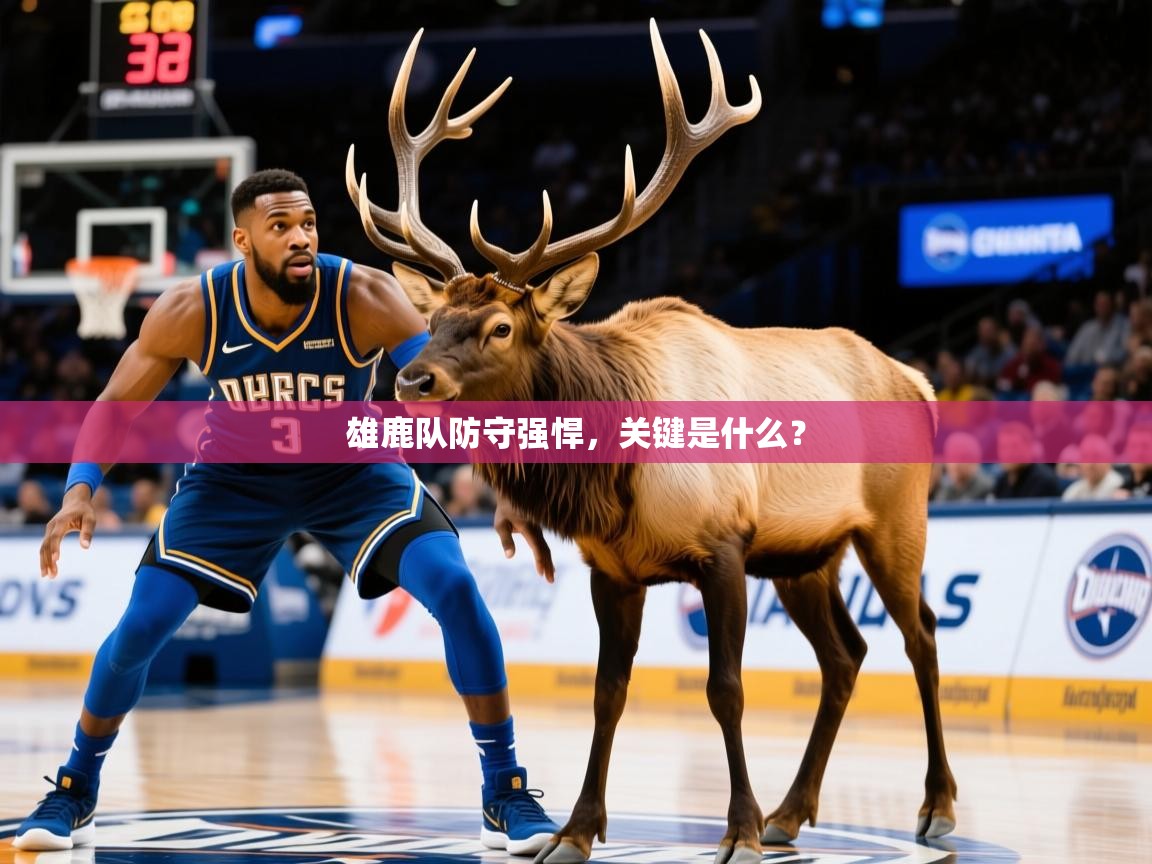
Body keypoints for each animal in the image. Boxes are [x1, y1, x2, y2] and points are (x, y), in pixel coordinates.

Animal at [346, 22, 957, 864]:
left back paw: (933, 807)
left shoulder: (724, 546)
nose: (411, 379)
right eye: (433, 319)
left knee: (920, 637)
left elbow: (725, 689)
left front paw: (736, 831)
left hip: (895, 522)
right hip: (806, 554)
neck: (614, 476)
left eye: (500, 326)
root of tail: (918, 380)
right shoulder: (613, 568)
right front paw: (575, 831)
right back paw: (792, 812)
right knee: (845, 655)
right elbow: (608, 692)